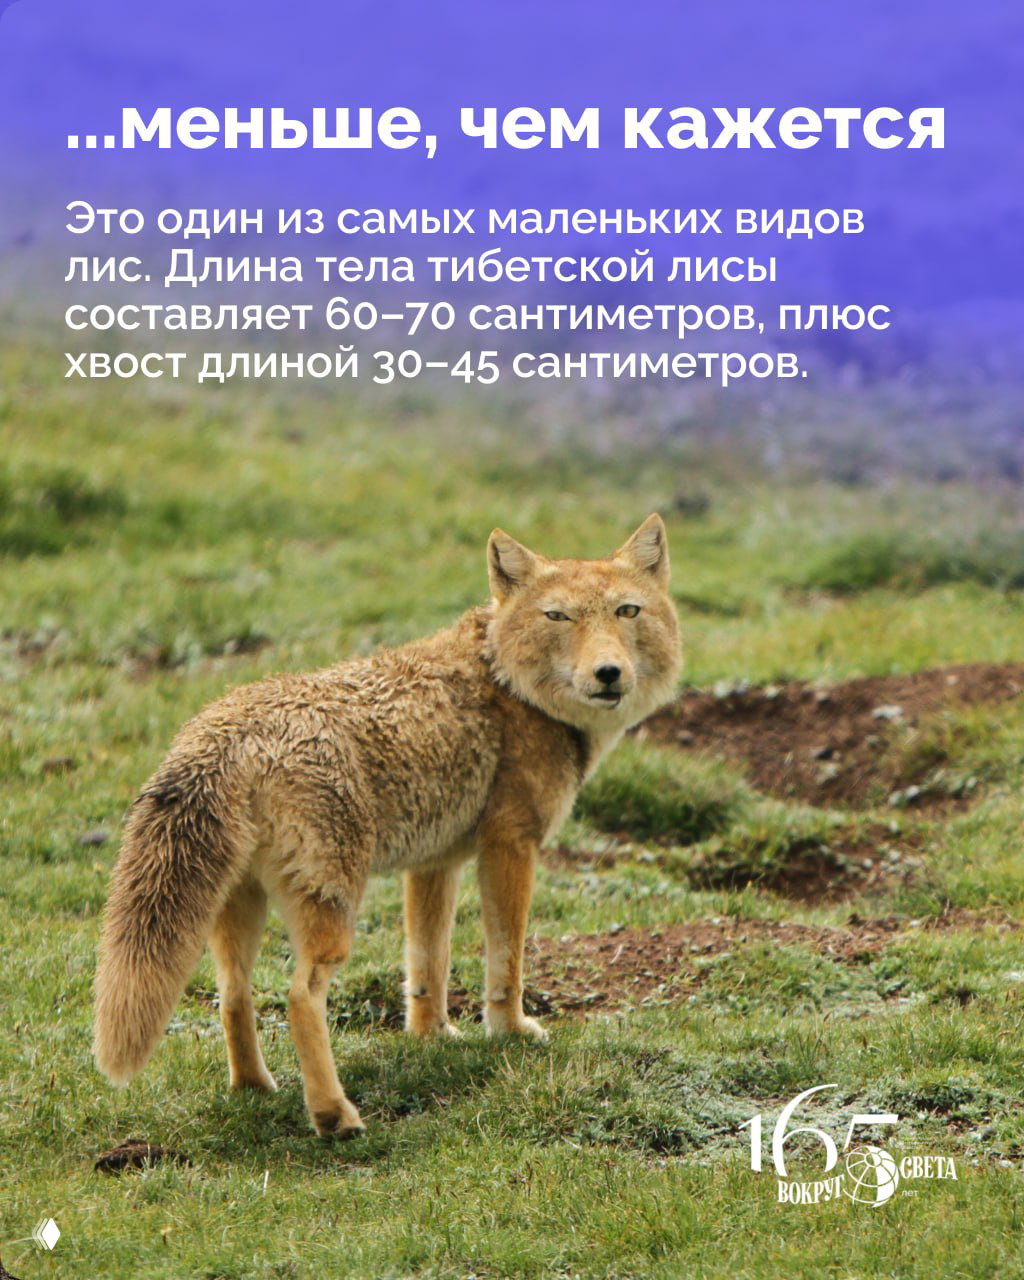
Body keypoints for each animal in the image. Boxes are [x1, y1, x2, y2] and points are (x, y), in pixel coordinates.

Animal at [93, 515, 682, 1137]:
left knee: (233, 996)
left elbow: (428, 964)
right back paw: (334, 1116)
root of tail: (225, 728)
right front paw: (511, 1033)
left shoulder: (434, 863)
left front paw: (431, 1037)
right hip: (332, 915)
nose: (608, 673)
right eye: (558, 616)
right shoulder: (510, 846)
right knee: (299, 997)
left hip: (239, 912)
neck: (506, 681)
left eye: (626, 611)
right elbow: (508, 960)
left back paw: (254, 1088)